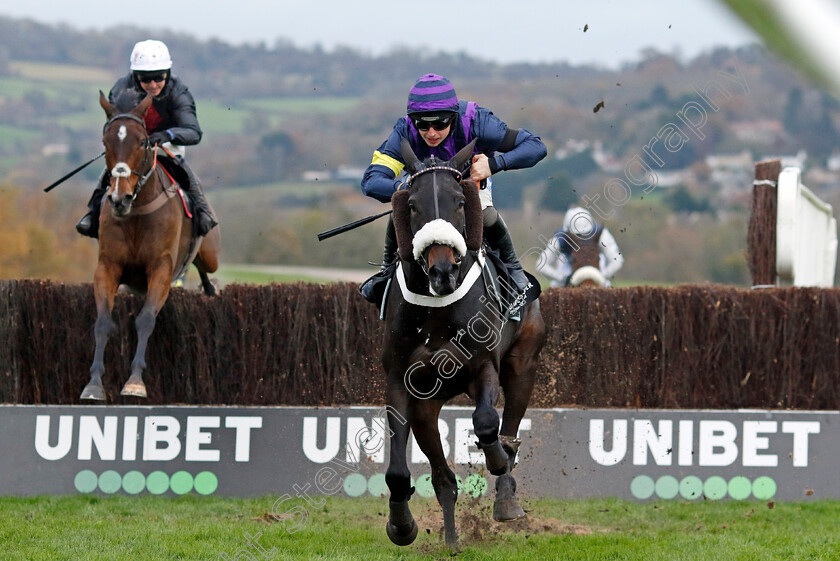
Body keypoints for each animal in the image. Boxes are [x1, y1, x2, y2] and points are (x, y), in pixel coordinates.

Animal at [79, 91, 220, 398]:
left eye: (143, 141)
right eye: (105, 141)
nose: (119, 198)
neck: (136, 212)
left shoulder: (161, 269)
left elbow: (145, 319)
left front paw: (134, 382)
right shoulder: (108, 266)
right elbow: (103, 321)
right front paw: (94, 383)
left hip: (210, 253)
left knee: (205, 267)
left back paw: (210, 288)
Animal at [378, 138, 544, 548]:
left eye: (457, 200)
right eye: (412, 204)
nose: (442, 271)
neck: (436, 311)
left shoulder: (483, 367)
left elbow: (486, 424)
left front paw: (498, 458)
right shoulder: (400, 383)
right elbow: (397, 471)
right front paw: (401, 525)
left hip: (524, 364)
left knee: (509, 425)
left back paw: (506, 495)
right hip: (428, 406)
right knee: (442, 477)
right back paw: (452, 538)